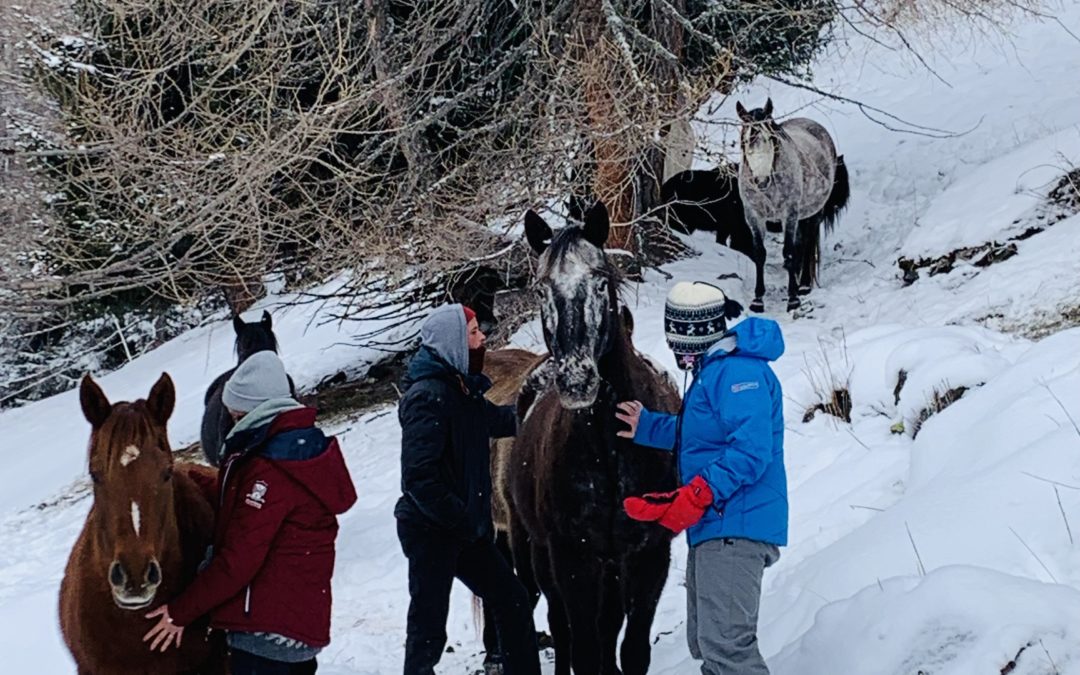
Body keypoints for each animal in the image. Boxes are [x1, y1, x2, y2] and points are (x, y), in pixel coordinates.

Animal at [509, 203, 678, 673]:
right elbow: (583, 648)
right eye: (542, 290)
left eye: (601, 281)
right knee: (561, 627)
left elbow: (631, 648)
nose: (577, 380)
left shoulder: (648, 555)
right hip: (537, 555)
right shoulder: (573, 560)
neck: (610, 451)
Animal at [738, 96, 846, 311]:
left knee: (807, 243)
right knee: (800, 244)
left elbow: (788, 253)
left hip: (811, 214)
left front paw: (793, 298)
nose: (761, 181)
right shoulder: (754, 216)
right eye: (744, 141)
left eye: (771, 139)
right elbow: (759, 254)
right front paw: (757, 299)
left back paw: (802, 284)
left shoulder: (789, 215)